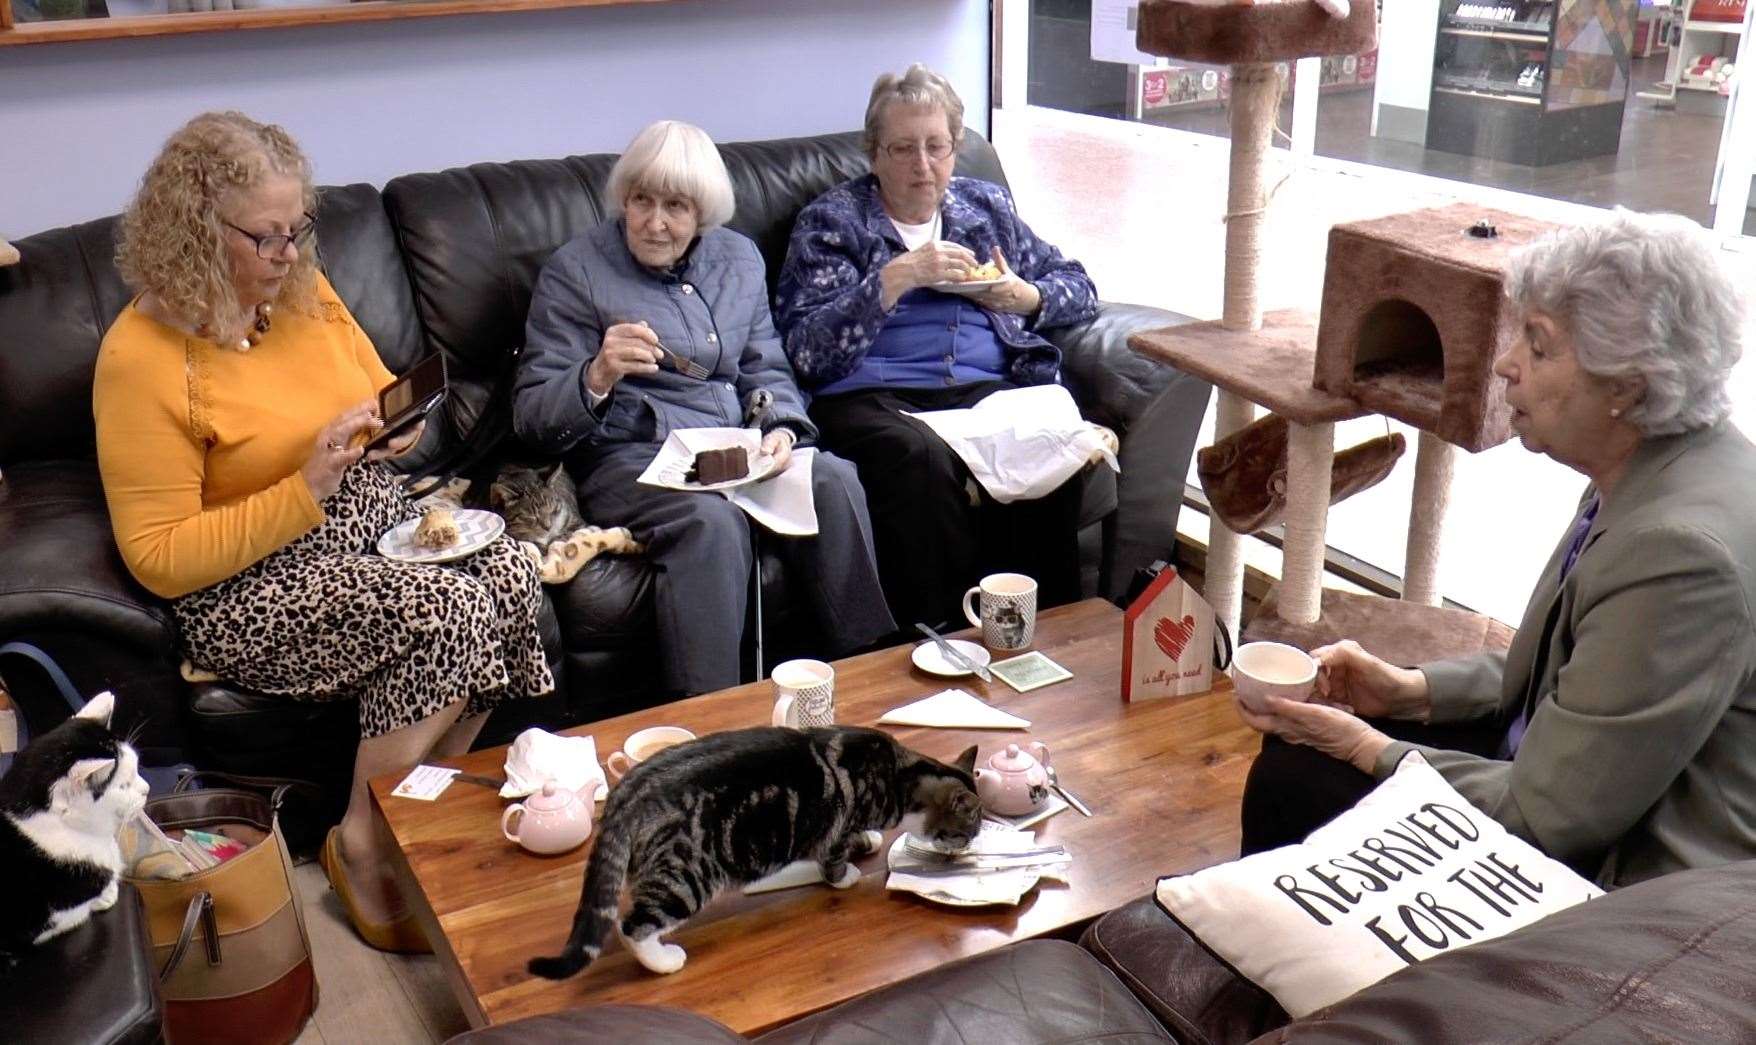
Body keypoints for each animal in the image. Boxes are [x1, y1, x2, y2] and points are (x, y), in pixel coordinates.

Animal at [0, 695, 151, 976]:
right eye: (123, 786)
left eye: (137, 768)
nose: (147, 789)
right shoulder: (35, 928)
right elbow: (79, 911)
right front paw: (107, 894)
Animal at [526, 727, 983, 983]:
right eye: (969, 828)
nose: (975, 840)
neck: (900, 775)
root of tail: (625, 795)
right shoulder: (834, 828)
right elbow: (833, 857)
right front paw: (848, 872)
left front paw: (868, 839)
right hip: (685, 880)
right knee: (632, 925)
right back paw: (662, 960)